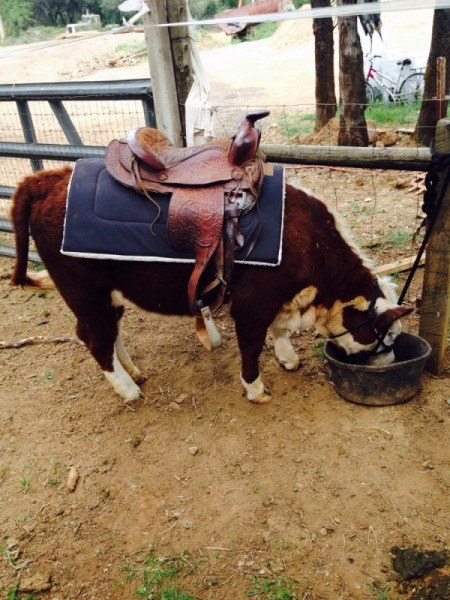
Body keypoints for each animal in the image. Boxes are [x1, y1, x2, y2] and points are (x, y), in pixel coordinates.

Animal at [9, 166, 412, 406]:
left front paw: (288, 358)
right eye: (385, 337)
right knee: (95, 340)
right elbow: (252, 347)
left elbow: (279, 330)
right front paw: (255, 389)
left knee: (109, 335)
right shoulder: (251, 306)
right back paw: (129, 389)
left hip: (109, 295)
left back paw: (133, 371)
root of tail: (47, 178)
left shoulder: (278, 300)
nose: (391, 362)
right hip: (85, 293)